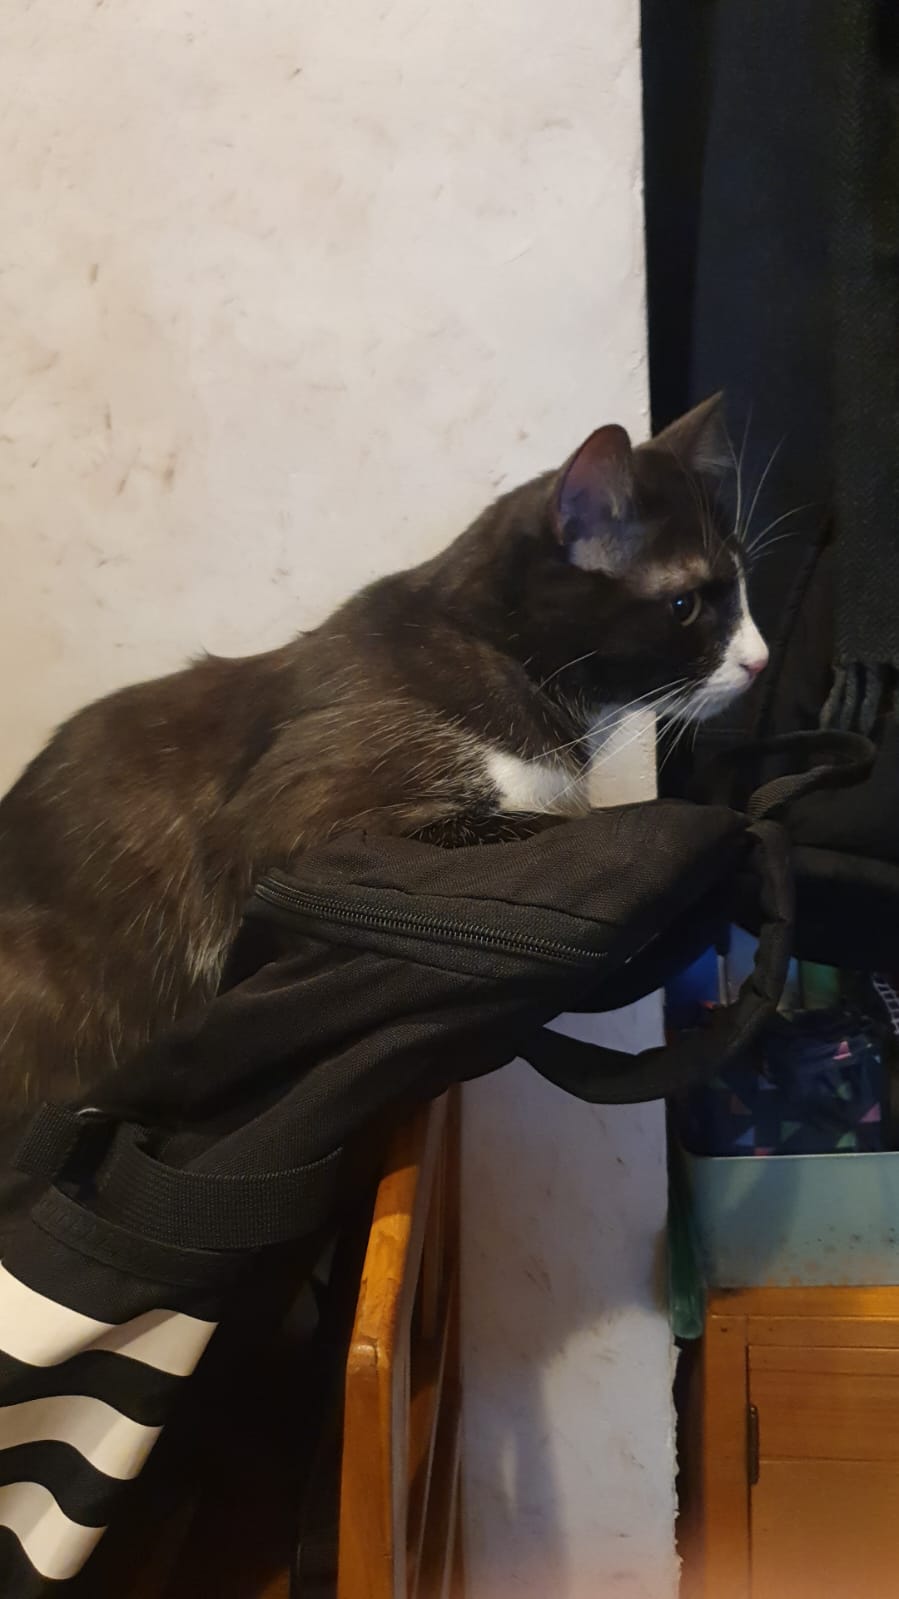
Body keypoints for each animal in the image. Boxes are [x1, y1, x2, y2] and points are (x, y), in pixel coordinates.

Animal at [0, 393, 766, 1120]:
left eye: (743, 590)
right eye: (685, 604)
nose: (760, 660)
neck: (494, 650)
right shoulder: (295, 822)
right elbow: (531, 824)